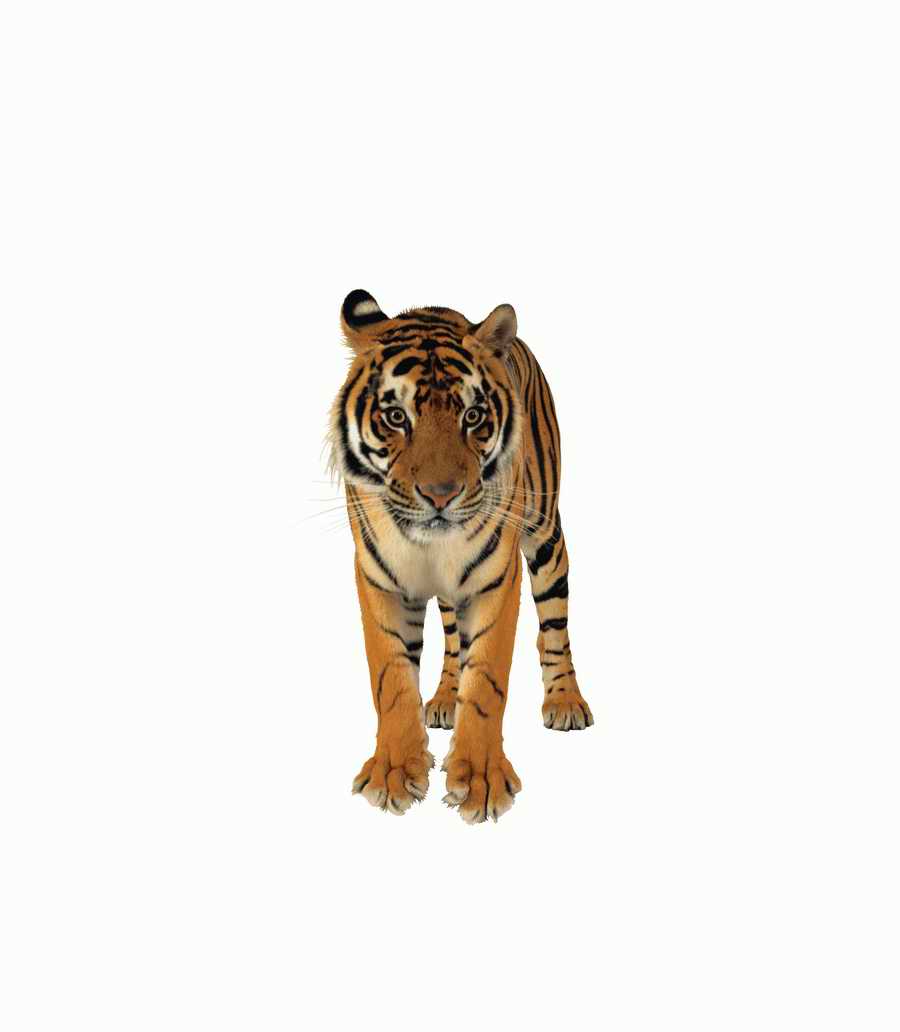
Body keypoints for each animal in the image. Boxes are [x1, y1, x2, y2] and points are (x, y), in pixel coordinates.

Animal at [329, 289, 593, 823]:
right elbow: (390, 677)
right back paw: (444, 699)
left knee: (555, 626)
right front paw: (393, 773)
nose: (441, 495)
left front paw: (481, 782)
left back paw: (566, 702)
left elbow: (487, 678)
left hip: (545, 534)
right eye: (396, 417)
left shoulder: (498, 577)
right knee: (452, 638)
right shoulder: (378, 578)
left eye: (472, 417)